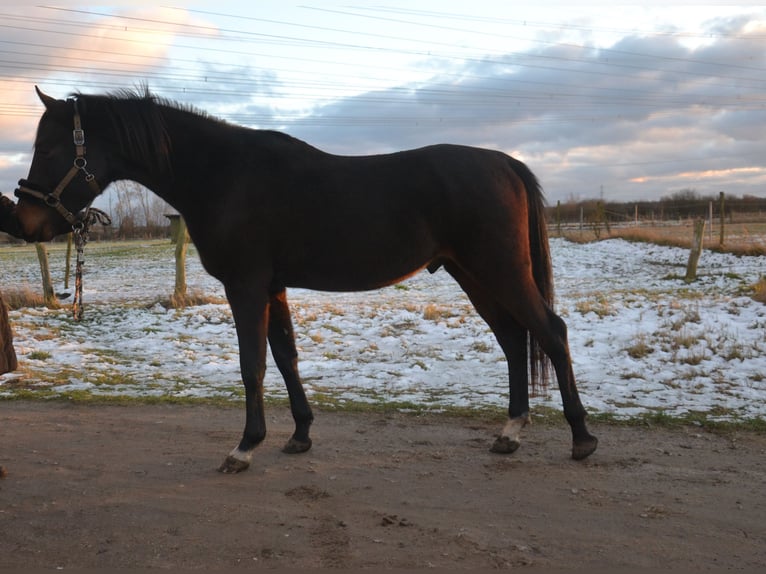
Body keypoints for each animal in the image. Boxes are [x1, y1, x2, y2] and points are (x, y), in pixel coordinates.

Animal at [10, 86, 600, 472]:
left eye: (51, 148)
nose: (25, 221)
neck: (224, 175)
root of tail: (505, 164)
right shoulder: (272, 286)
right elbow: (286, 357)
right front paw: (298, 435)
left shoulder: (246, 286)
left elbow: (252, 365)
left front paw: (245, 446)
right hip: (474, 274)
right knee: (515, 339)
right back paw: (511, 431)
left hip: (498, 269)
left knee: (550, 332)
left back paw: (581, 437)